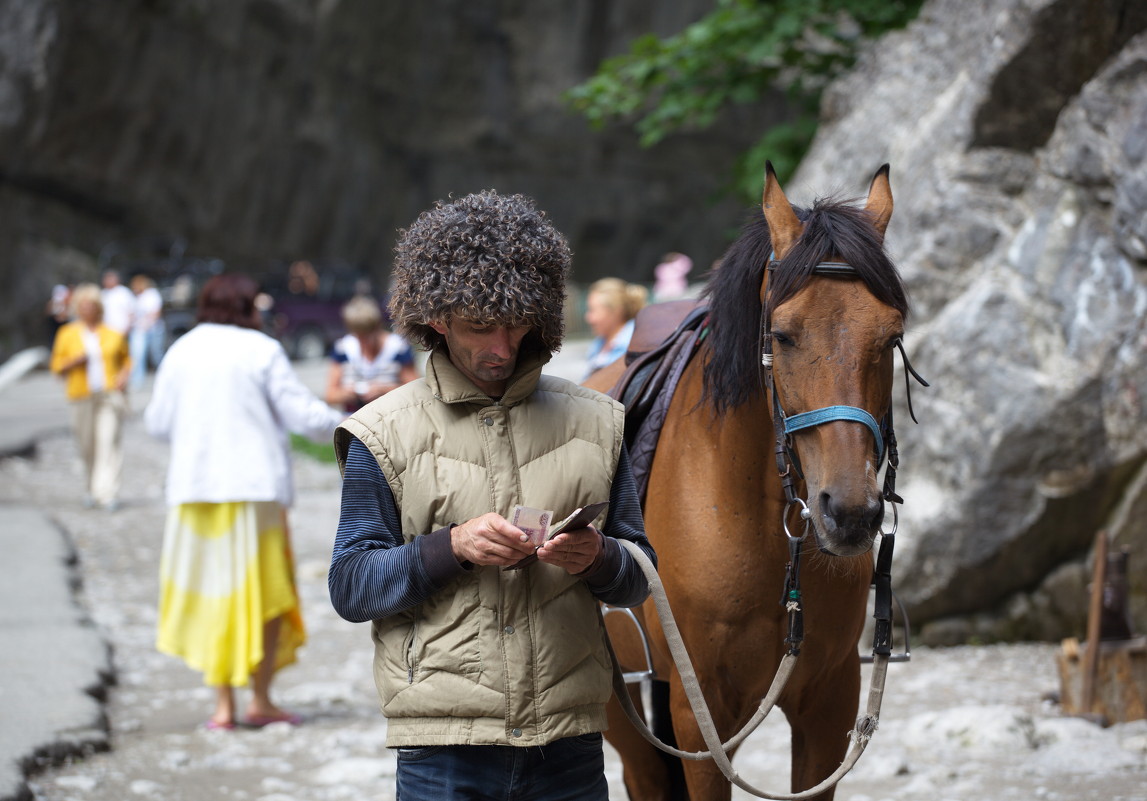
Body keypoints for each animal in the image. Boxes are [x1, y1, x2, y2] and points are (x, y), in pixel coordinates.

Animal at [591, 164, 913, 798]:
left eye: (890, 338)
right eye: (783, 335)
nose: (850, 513)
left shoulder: (829, 706)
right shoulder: (702, 719)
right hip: (625, 712)